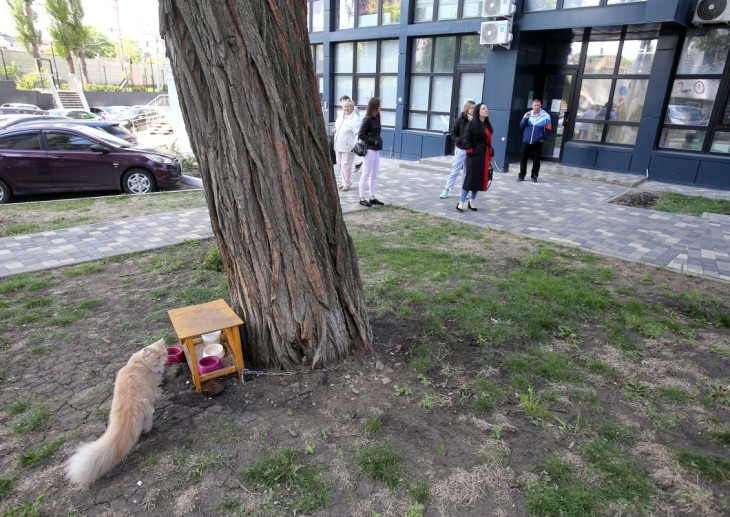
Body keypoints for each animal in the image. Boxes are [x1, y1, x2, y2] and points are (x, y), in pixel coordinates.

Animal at [65, 338, 166, 484]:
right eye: (158, 357)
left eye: (165, 353)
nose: (164, 360)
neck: (139, 362)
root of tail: (128, 406)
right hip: (147, 407)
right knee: (146, 424)